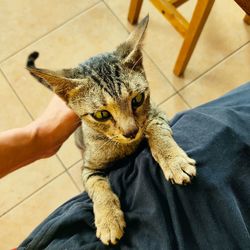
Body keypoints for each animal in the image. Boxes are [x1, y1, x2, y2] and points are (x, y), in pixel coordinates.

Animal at [26, 15, 196, 244]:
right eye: (101, 115)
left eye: (138, 99)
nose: (131, 132)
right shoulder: (88, 168)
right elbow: (97, 186)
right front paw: (108, 219)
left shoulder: (156, 112)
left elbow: (155, 128)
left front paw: (174, 160)